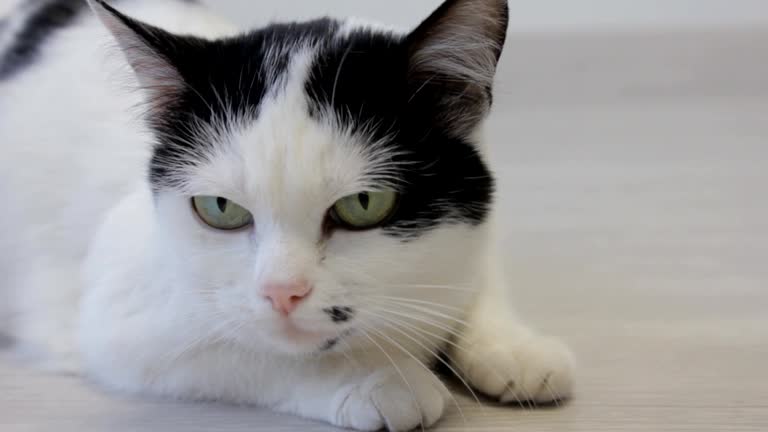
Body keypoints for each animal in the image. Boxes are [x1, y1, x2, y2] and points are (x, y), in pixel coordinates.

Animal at [1, 0, 576, 430]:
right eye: (221, 209)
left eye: (363, 204)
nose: (282, 293)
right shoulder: (117, 320)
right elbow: (251, 347)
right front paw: (375, 379)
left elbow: (473, 271)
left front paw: (515, 347)